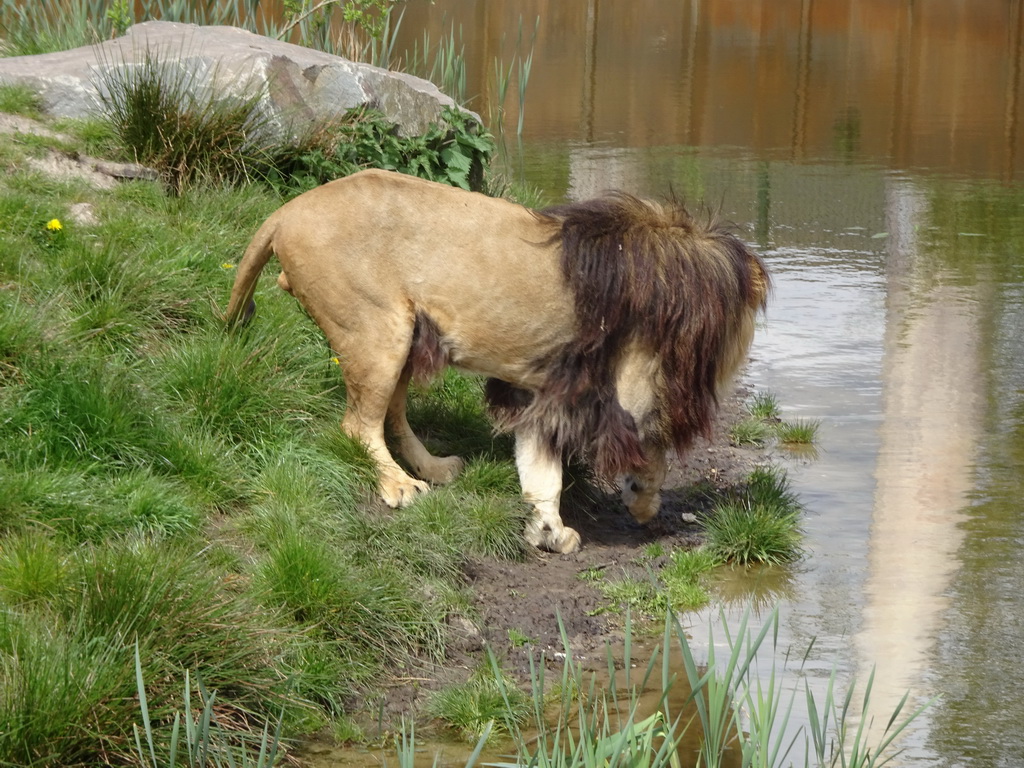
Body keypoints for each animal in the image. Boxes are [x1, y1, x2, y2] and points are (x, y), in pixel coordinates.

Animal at [226, 169, 770, 552]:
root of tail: (286, 210)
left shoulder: (546, 388)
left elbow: (539, 464)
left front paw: (548, 529)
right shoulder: (629, 391)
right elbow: (650, 456)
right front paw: (639, 503)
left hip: (407, 337)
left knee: (391, 417)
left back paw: (433, 468)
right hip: (377, 331)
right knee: (358, 425)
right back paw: (399, 484)